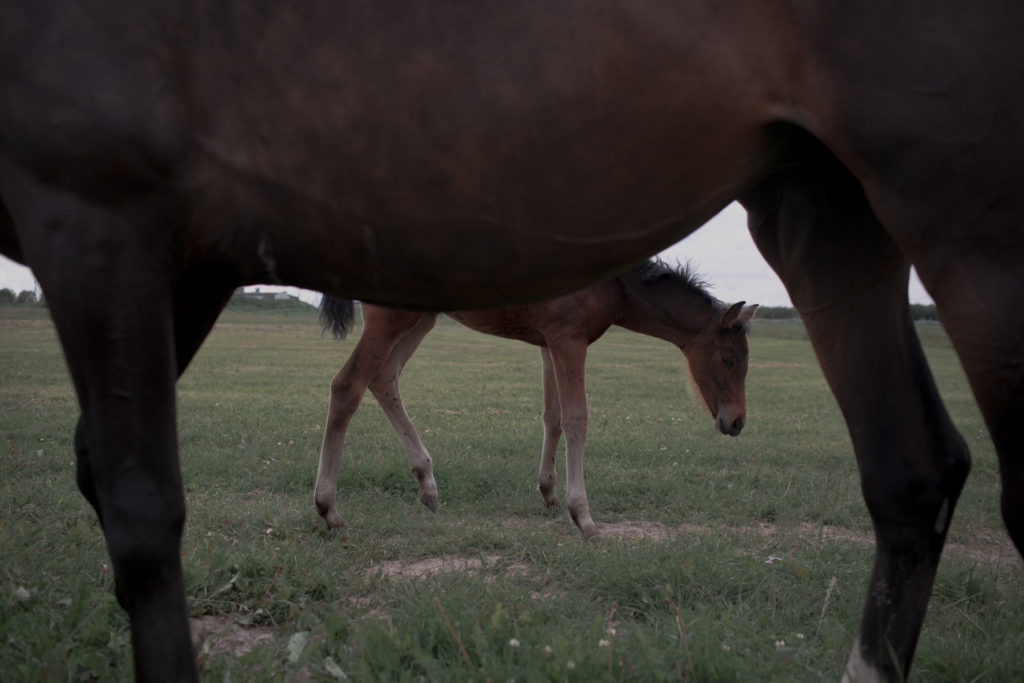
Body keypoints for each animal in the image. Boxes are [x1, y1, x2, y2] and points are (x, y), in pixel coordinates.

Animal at [315, 262, 757, 540]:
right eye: (728, 358)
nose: (737, 422)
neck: (612, 284)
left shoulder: (549, 342)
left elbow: (553, 416)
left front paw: (549, 493)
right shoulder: (569, 339)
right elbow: (577, 417)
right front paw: (584, 516)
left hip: (420, 318)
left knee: (384, 379)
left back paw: (427, 484)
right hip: (392, 320)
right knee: (347, 386)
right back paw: (329, 508)